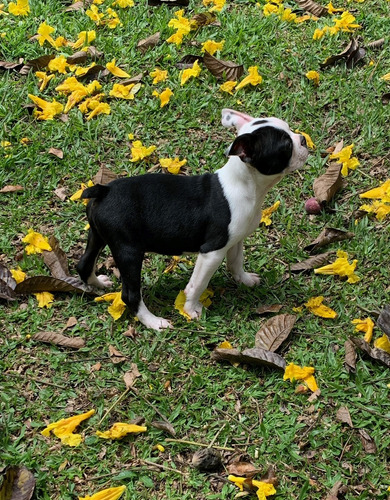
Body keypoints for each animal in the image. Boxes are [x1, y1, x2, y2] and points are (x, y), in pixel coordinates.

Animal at [76, 107, 308, 330]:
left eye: (289, 129)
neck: (246, 184)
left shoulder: (235, 239)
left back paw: (98, 283)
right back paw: (154, 322)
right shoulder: (212, 251)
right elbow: (198, 284)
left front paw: (245, 280)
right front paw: (190, 309)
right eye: (286, 146)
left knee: (84, 264)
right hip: (128, 250)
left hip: (98, 235)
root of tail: (103, 190)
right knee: (130, 295)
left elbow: (236, 262)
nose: (303, 139)